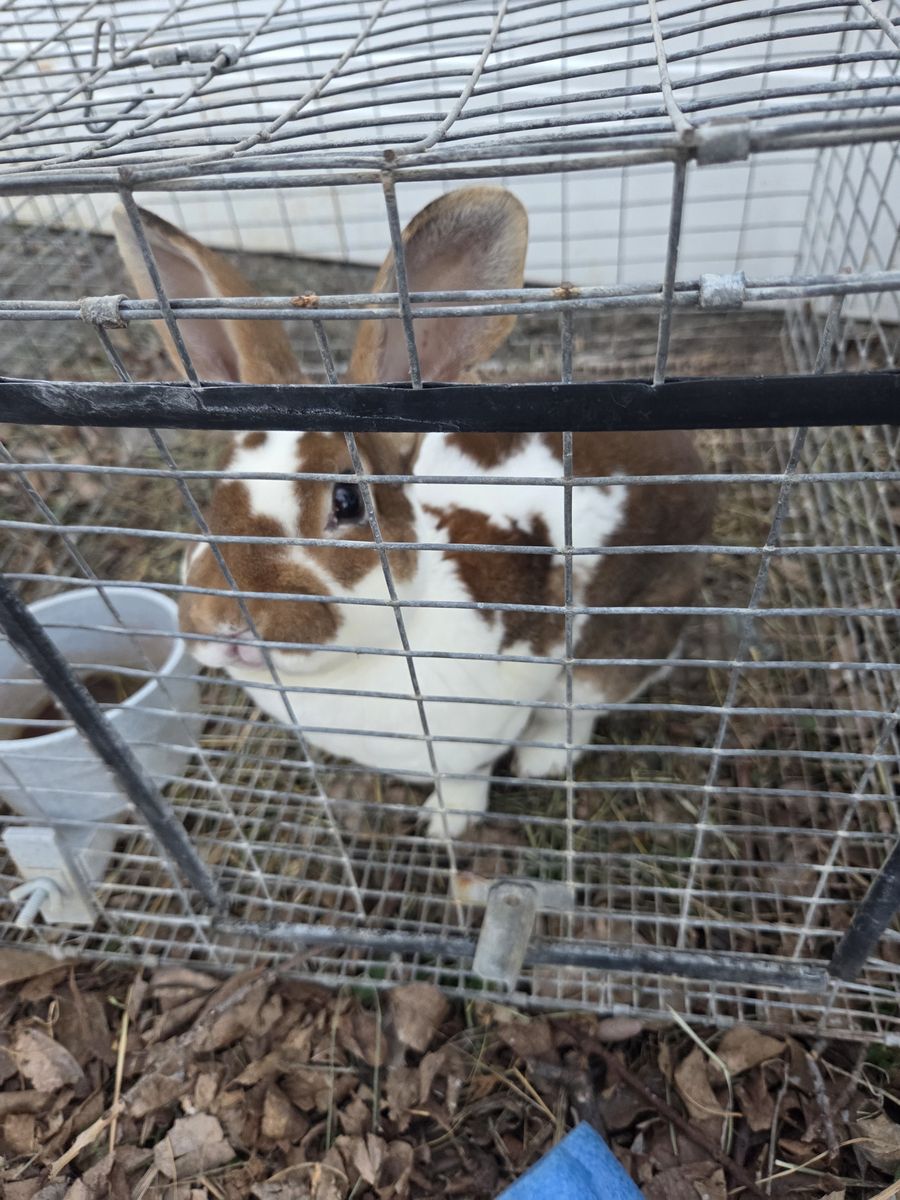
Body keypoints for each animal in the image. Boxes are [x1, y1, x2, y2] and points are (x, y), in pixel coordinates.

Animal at [113, 188, 713, 838]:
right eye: (213, 496)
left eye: (346, 502)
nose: (223, 620)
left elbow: (469, 775)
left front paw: (446, 824)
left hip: (628, 634)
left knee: (582, 705)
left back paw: (542, 759)